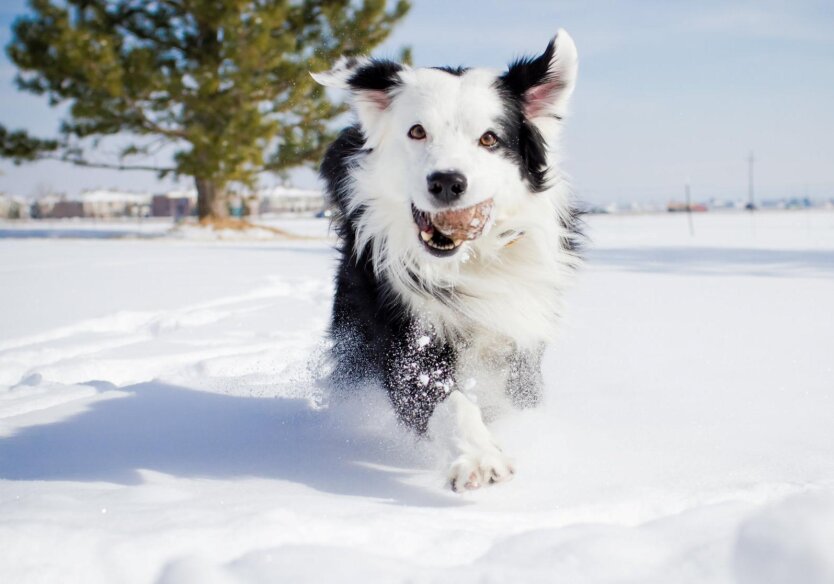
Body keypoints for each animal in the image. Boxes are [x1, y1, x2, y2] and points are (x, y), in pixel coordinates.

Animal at [312, 29, 580, 490]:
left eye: (489, 139)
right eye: (417, 131)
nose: (447, 182)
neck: (469, 262)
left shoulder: (520, 338)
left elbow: (517, 398)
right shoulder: (403, 334)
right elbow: (446, 400)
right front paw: (479, 456)